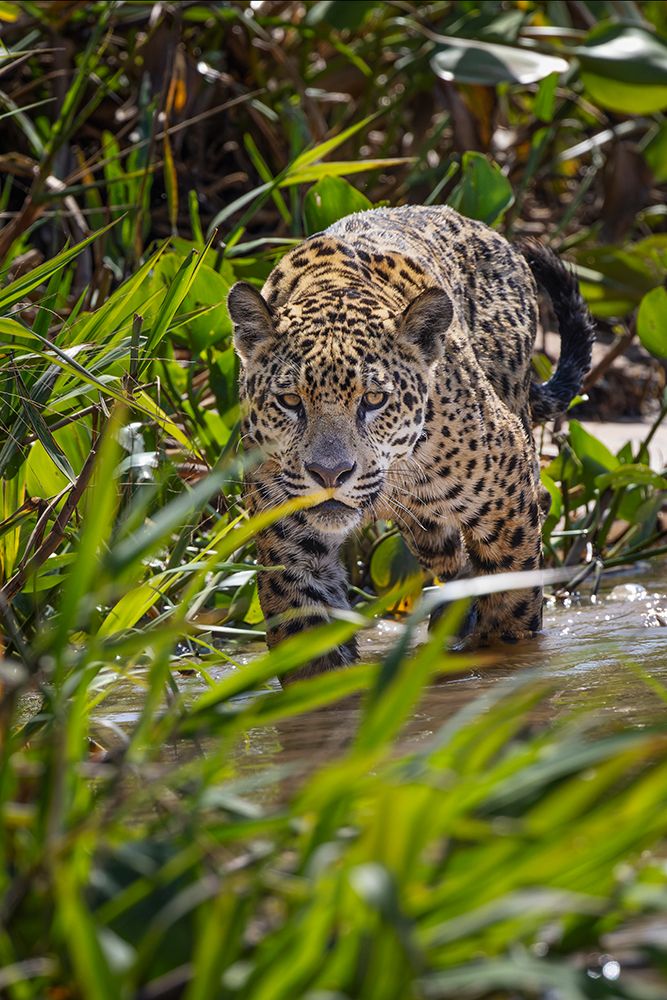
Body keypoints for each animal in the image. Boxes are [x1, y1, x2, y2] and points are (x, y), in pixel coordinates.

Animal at [227, 205, 595, 682]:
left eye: (374, 399)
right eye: (290, 401)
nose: (330, 474)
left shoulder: (507, 489)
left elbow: (510, 601)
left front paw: (502, 657)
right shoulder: (291, 545)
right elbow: (308, 648)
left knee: (539, 501)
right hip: (427, 528)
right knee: (447, 556)